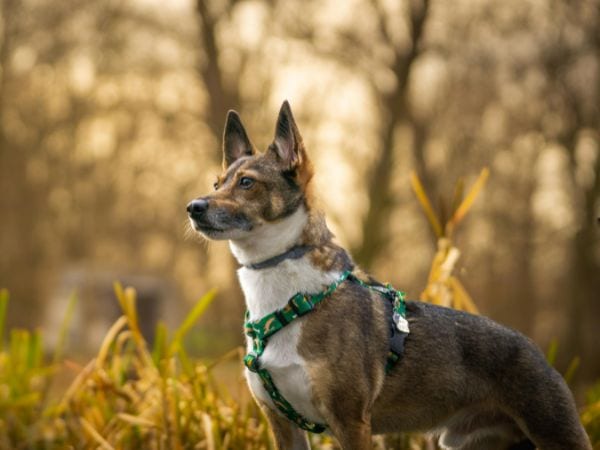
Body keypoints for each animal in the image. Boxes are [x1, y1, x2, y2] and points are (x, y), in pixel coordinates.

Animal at [188, 102, 592, 450]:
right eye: (216, 183)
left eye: (246, 182)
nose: (193, 207)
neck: (288, 296)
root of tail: (538, 352)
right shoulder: (282, 425)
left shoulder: (350, 421)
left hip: (559, 435)